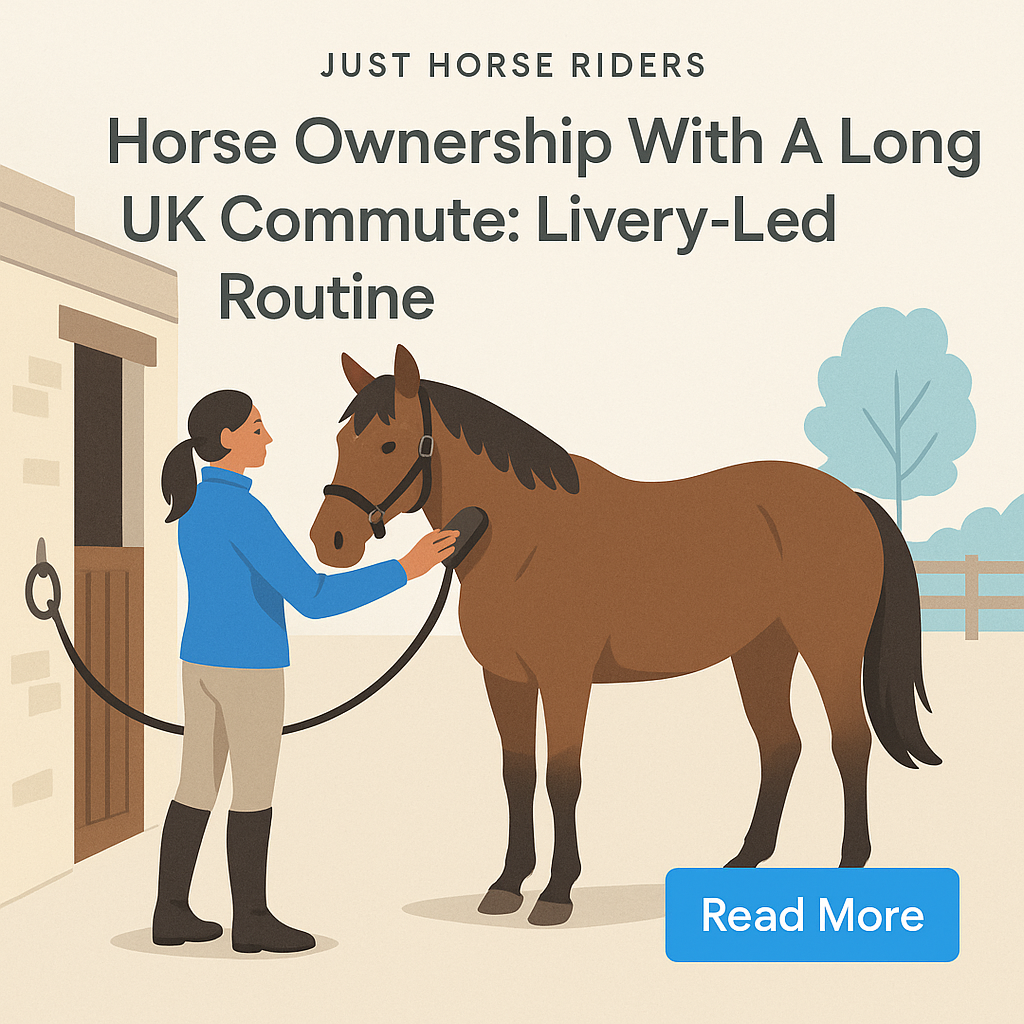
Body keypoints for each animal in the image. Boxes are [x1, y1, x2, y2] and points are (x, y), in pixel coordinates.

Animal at [310, 345, 940, 927]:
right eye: (341, 442)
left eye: (390, 445)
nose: (330, 541)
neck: (522, 537)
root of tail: (852, 498)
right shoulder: (505, 679)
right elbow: (517, 774)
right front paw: (507, 885)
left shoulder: (565, 679)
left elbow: (562, 776)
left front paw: (556, 893)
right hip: (762, 651)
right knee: (781, 744)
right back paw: (745, 859)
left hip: (828, 649)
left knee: (849, 741)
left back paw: (849, 864)